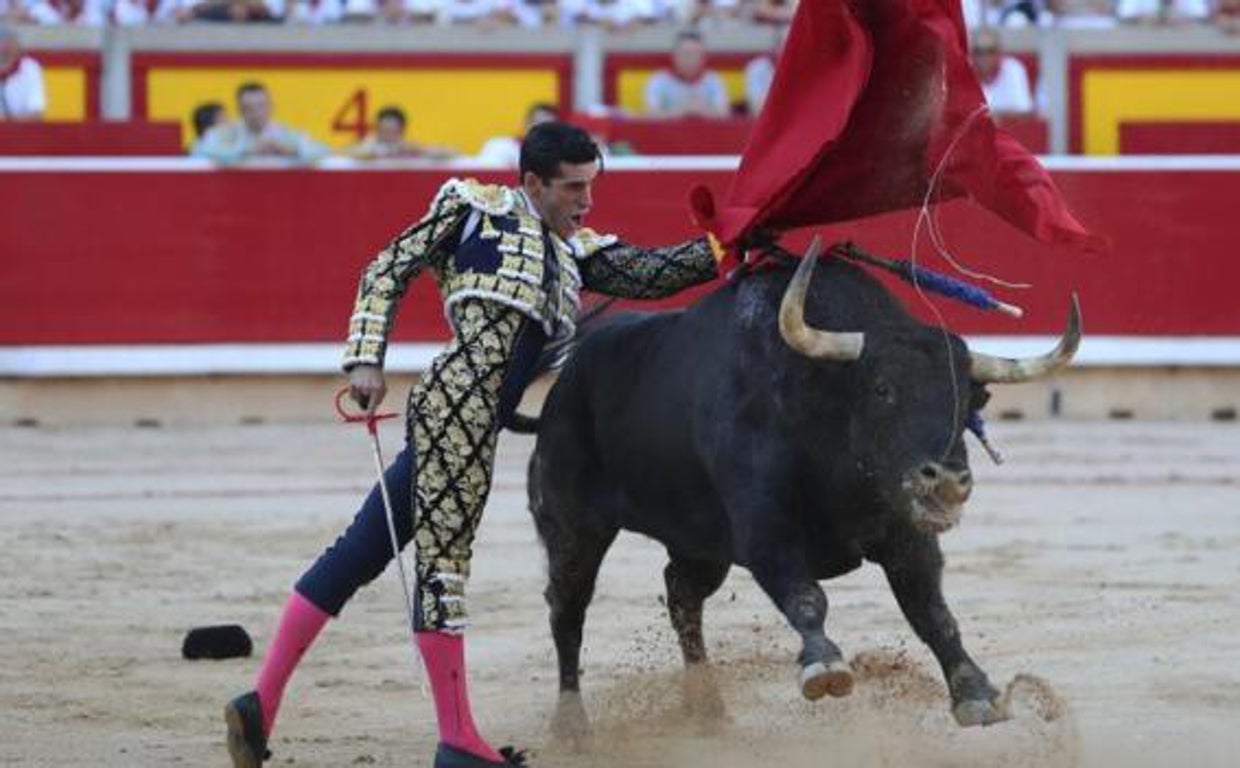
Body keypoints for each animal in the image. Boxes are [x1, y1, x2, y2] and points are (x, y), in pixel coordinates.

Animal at [518, 240, 1081, 734]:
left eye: (970, 398)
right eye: (882, 390)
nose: (947, 481)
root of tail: (564, 384)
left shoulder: (905, 534)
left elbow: (932, 612)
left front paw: (976, 692)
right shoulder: (765, 530)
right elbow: (806, 596)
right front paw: (823, 665)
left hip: (700, 544)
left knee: (681, 595)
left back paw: (707, 709)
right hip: (574, 524)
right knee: (567, 609)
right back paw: (572, 725)